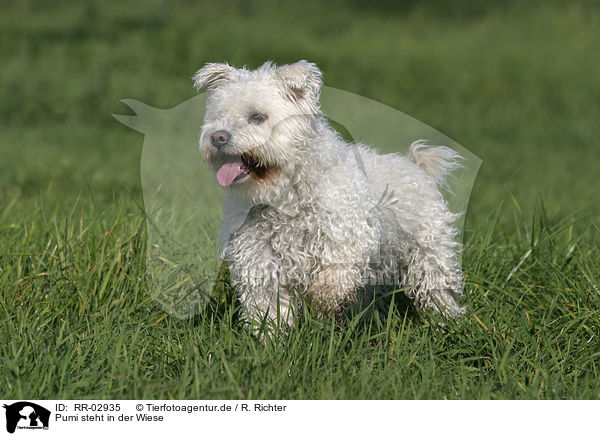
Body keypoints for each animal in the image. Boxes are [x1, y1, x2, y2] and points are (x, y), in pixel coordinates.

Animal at [195, 59, 466, 328]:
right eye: (219, 116)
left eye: (257, 117)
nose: (218, 137)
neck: (285, 195)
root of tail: (416, 166)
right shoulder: (258, 257)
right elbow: (269, 308)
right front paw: (270, 336)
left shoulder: (349, 234)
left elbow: (334, 274)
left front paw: (322, 299)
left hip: (428, 253)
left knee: (436, 289)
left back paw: (447, 322)